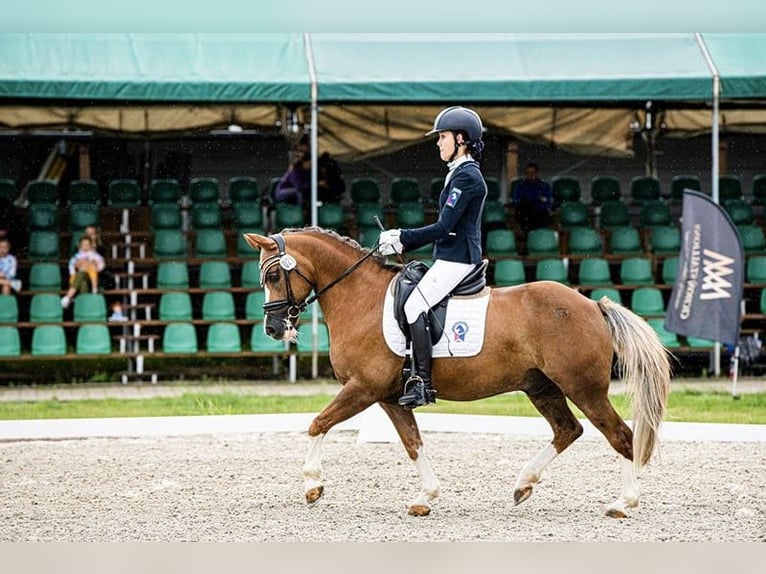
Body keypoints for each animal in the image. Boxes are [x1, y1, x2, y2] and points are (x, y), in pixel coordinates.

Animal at [243, 227, 671, 518]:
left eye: (274, 276)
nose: (274, 329)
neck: (360, 298)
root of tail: (592, 304)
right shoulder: (389, 397)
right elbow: (413, 443)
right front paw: (425, 498)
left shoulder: (362, 388)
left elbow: (318, 423)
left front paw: (313, 485)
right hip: (542, 387)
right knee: (569, 430)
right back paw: (523, 485)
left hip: (584, 389)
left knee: (620, 436)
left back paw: (622, 503)